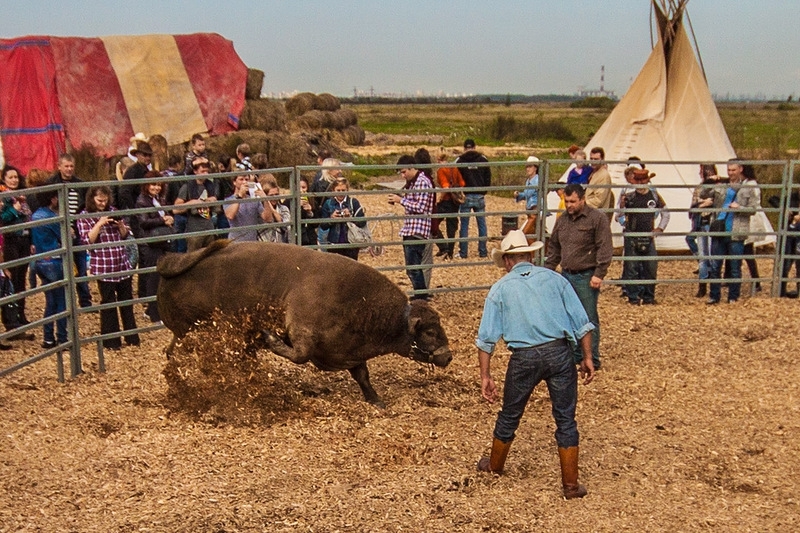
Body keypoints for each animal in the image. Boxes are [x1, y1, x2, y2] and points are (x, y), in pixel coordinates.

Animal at [156, 239, 450, 406]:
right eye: (430, 331)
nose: (448, 356)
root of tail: (173, 263)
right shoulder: (302, 329)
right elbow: (299, 354)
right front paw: (270, 338)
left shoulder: (350, 352)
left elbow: (363, 376)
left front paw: (375, 399)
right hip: (198, 332)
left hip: (181, 334)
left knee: (171, 353)